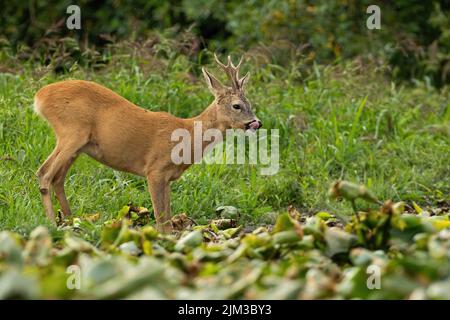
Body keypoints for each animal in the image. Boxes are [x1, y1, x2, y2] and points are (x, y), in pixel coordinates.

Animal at [35, 53, 262, 231]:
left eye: (250, 103)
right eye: (237, 105)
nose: (256, 122)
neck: (187, 136)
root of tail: (39, 97)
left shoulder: (168, 177)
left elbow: (168, 220)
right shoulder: (155, 170)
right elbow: (162, 222)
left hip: (78, 144)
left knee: (58, 178)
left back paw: (71, 221)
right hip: (72, 132)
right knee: (44, 173)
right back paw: (52, 224)